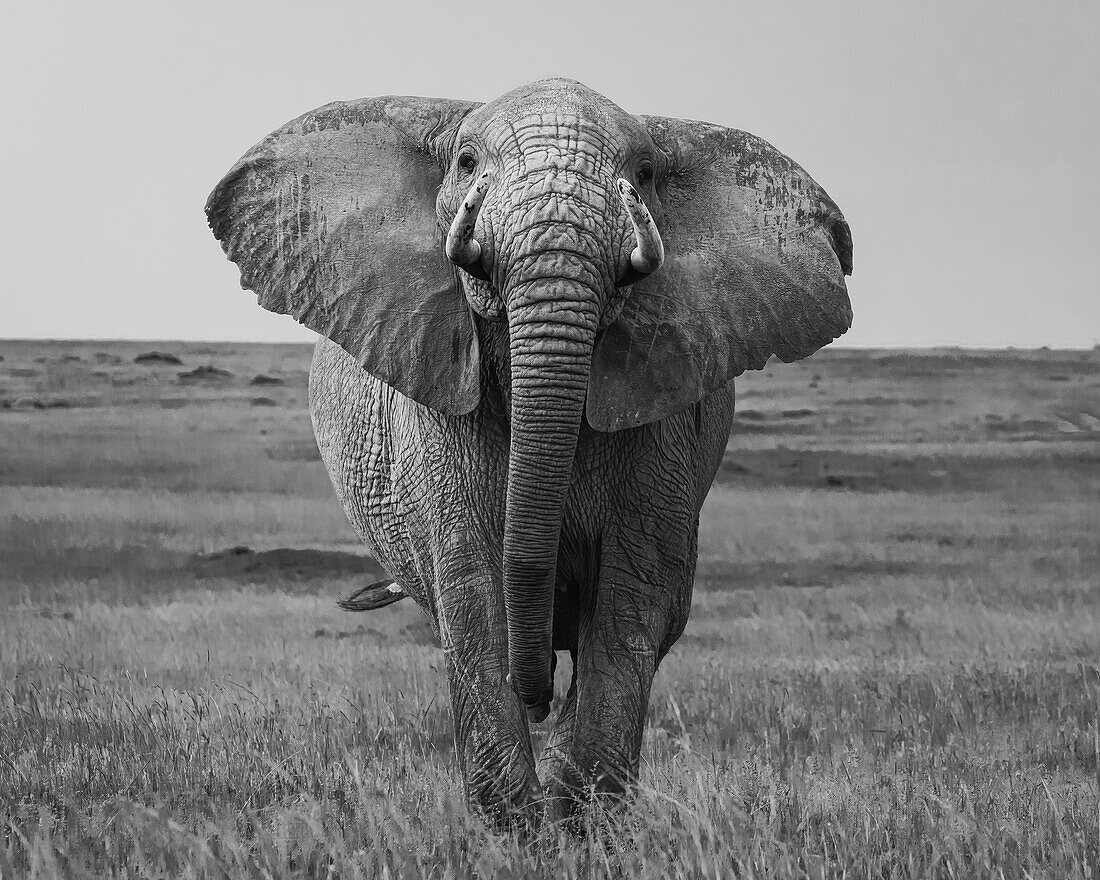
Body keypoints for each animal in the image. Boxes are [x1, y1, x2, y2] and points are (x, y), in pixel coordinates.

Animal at [207, 77, 858, 827]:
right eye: (465, 163)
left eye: (644, 176)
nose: (537, 694)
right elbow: (474, 597)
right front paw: (516, 832)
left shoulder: (667, 411)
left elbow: (629, 604)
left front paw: (581, 825)